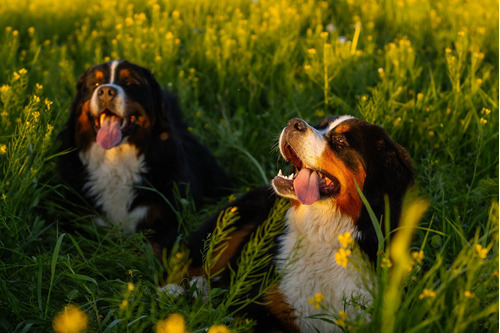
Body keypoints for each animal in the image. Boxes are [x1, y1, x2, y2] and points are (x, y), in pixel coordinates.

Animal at [58, 60, 229, 252]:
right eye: (95, 84)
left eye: (129, 82)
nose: (105, 91)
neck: (115, 161)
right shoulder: (81, 224)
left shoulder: (164, 222)